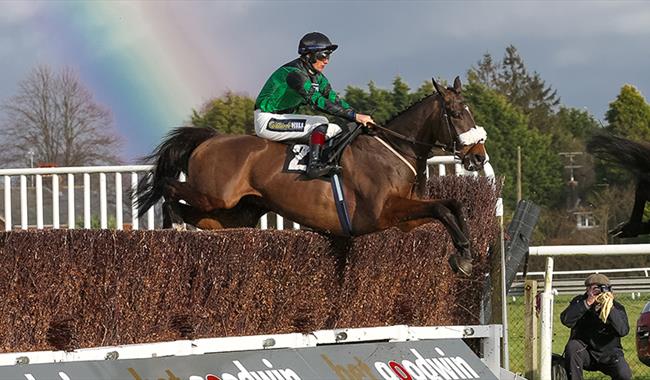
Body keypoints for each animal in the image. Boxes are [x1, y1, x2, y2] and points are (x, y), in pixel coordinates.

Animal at [137, 77, 486, 274]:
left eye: (471, 112)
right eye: (456, 113)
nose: (478, 157)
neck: (393, 149)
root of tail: (210, 138)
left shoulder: (404, 220)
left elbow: (452, 205)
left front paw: (467, 251)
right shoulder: (383, 212)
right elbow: (441, 207)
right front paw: (464, 256)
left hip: (236, 213)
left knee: (194, 212)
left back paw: (175, 230)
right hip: (215, 194)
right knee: (169, 187)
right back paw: (173, 226)